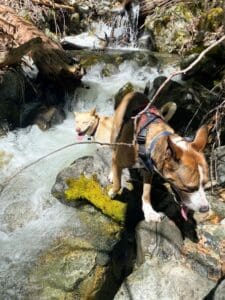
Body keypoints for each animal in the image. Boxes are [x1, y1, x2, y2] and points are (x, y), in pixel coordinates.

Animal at [110, 91, 210, 220]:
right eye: (188, 188)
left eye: (205, 184)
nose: (205, 209)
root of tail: (136, 92)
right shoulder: (120, 160)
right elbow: (118, 183)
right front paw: (113, 192)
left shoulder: (149, 171)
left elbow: (146, 192)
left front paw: (149, 211)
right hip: (115, 131)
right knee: (113, 152)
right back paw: (112, 173)